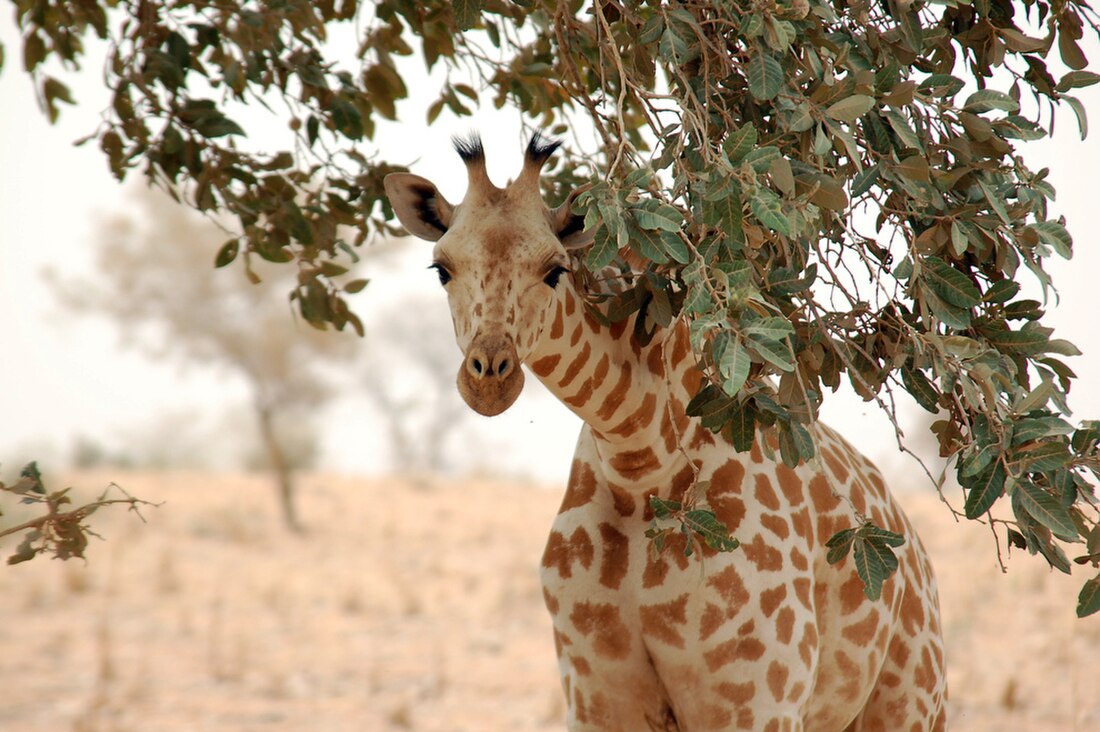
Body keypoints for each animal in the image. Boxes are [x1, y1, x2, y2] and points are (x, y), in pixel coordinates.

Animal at [385, 134, 946, 726]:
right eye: (442, 268)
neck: (640, 462)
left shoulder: (760, 700)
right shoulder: (595, 695)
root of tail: (916, 553)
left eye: (555, 269)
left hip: (911, 702)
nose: (490, 378)